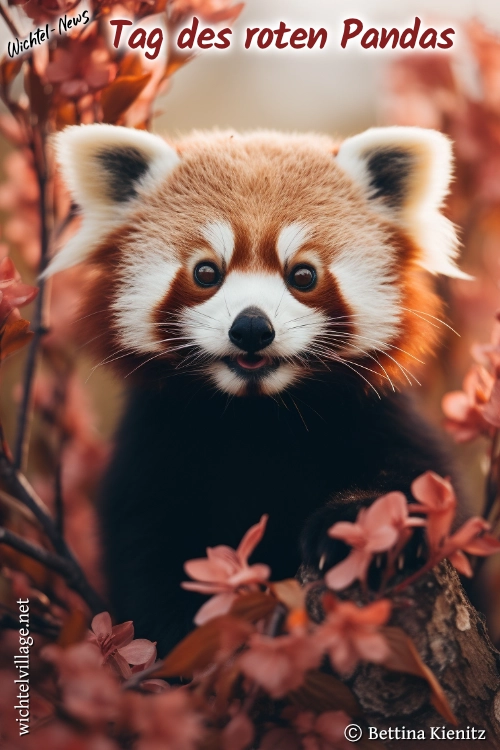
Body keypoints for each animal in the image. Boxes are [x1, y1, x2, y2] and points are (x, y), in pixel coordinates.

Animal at [46, 124, 467, 654]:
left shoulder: (377, 414)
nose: (251, 328)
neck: (259, 417)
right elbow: (148, 560)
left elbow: (418, 482)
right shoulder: (154, 452)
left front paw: (355, 527)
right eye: (206, 271)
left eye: (303, 274)